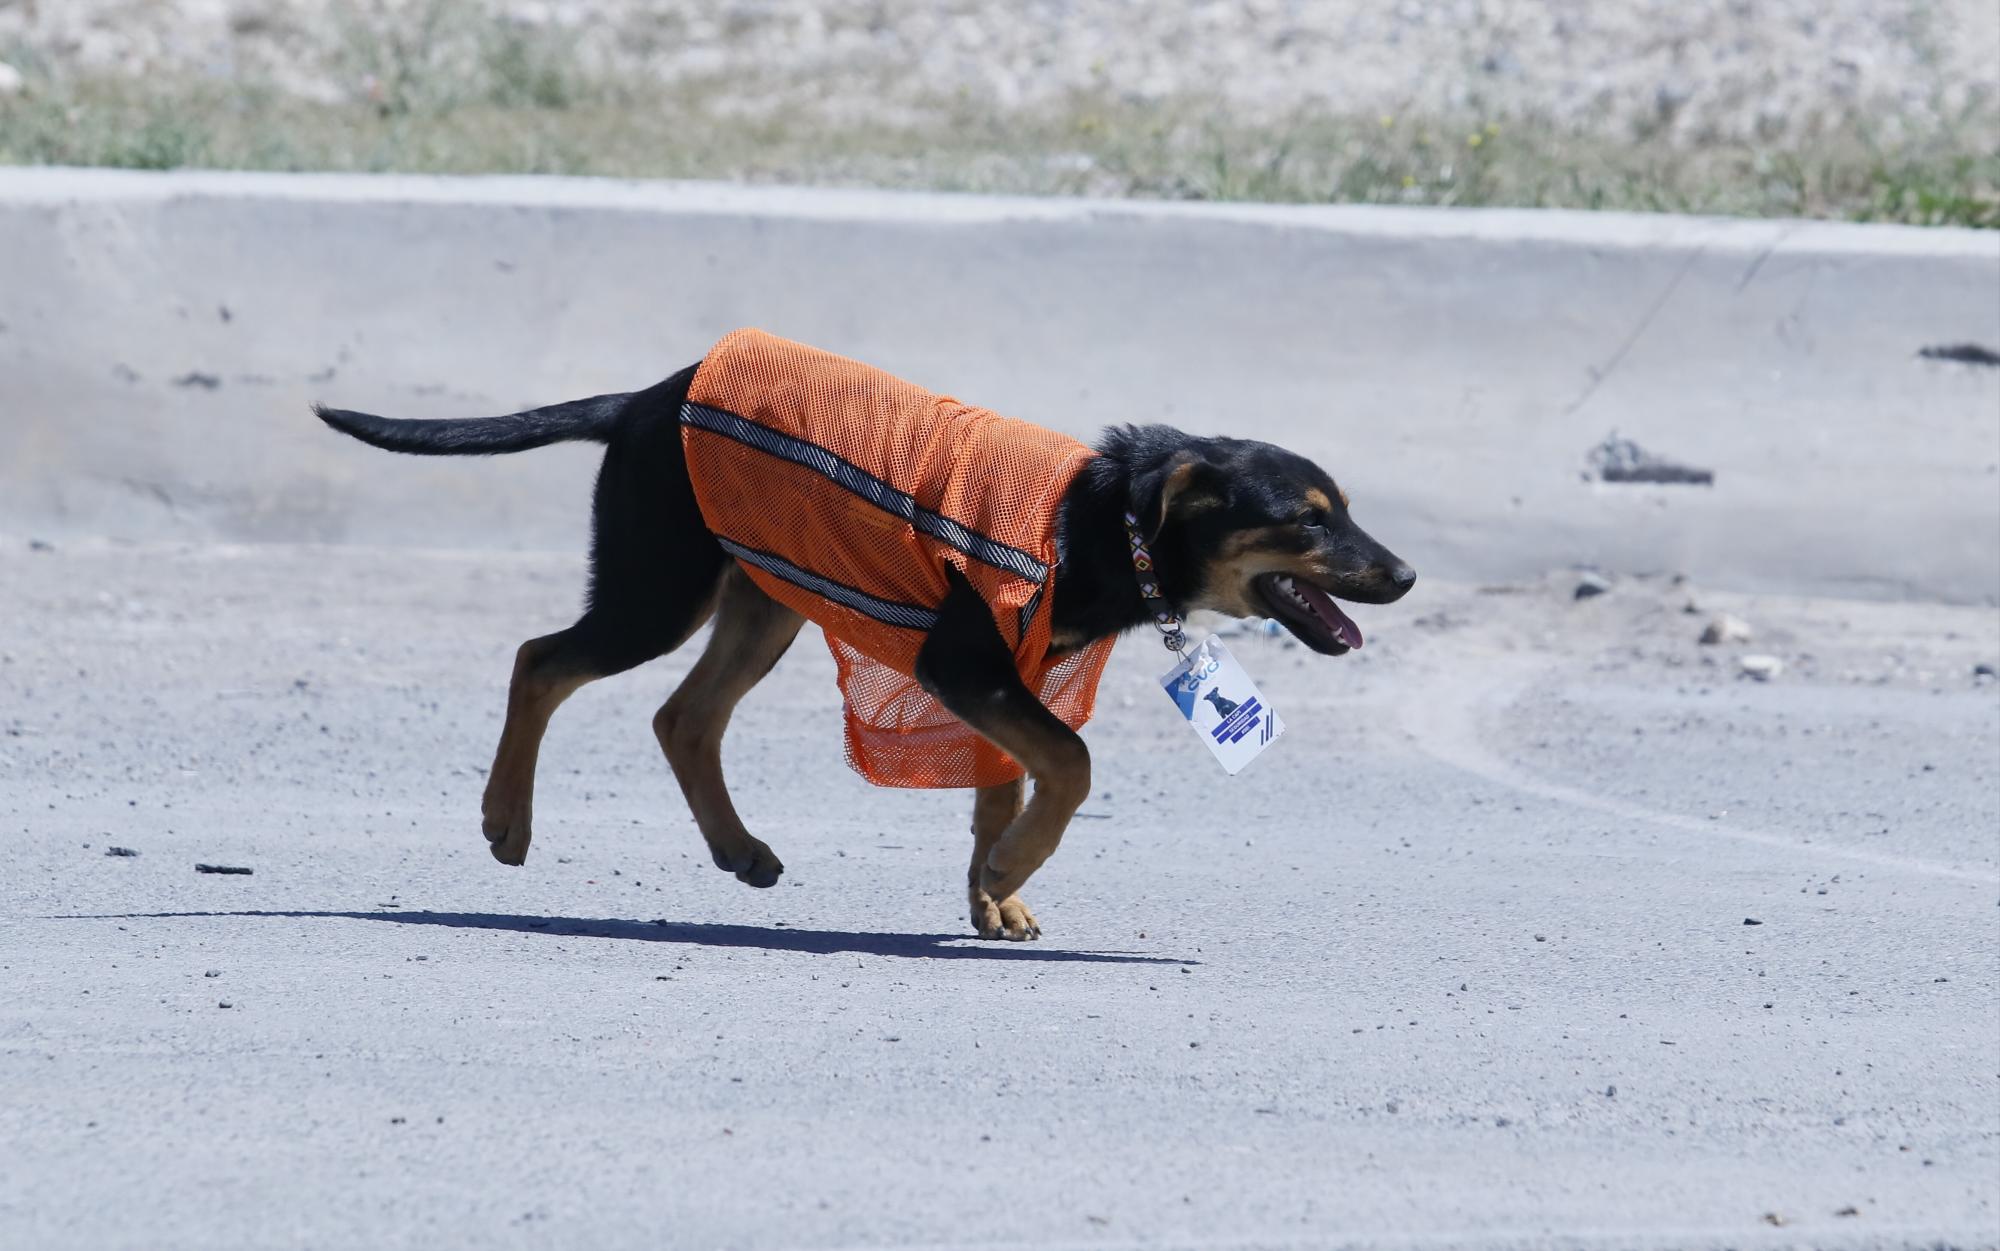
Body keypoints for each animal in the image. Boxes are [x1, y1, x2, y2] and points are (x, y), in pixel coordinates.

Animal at [316, 331, 1408, 935]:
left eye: (1345, 511)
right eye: (1309, 520)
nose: (1401, 574)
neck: (1105, 522)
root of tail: (636, 404)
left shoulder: (1000, 678)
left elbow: (1007, 785)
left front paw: (994, 894)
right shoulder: (967, 663)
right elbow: (1070, 761)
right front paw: (1010, 871)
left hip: (764, 598)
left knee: (683, 718)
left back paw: (740, 850)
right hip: (659, 587)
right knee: (539, 660)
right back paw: (506, 823)